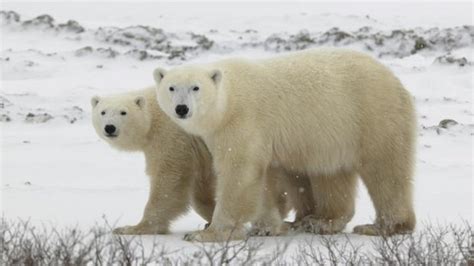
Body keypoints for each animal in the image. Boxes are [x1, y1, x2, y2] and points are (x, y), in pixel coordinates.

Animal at [91, 87, 314, 235]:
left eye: (123, 112)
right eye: (103, 112)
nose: (109, 127)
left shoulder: (173, 137)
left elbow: (169, 179)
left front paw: (133, 228)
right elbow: (201, 187)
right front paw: (210, 219)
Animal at [154, 47, 416, 241]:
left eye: (195, 87)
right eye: (171, 87)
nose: (182, 108)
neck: (228, 101)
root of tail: (393, 77)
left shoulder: (243, 123)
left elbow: (239, 173)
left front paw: (206, 234)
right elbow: (265, 179)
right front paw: (267, 227)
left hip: (372, 115)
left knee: (385, 170)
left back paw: (383, 226)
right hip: (333, 137)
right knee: (331, 175)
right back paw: (318, 221)